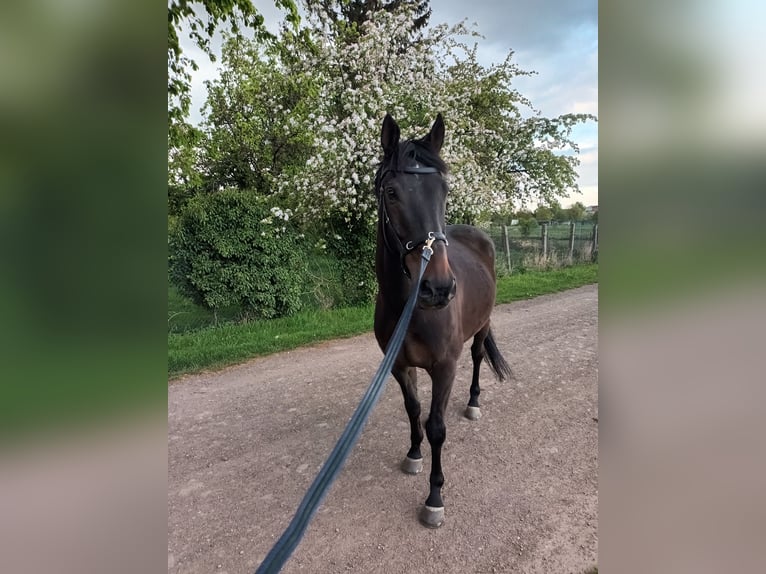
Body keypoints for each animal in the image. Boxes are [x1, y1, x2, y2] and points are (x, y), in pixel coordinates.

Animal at [376, 113, 512, 532]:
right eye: (391, 192)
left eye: (444, 190)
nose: (438, 288)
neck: (409, 308)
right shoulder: (399, 366)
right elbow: (414, 411)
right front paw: (413, 455)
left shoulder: (444, 368)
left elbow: (437, 427)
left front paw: (434, 498)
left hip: (481, 328)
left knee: (478, 356)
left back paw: (473, 403)